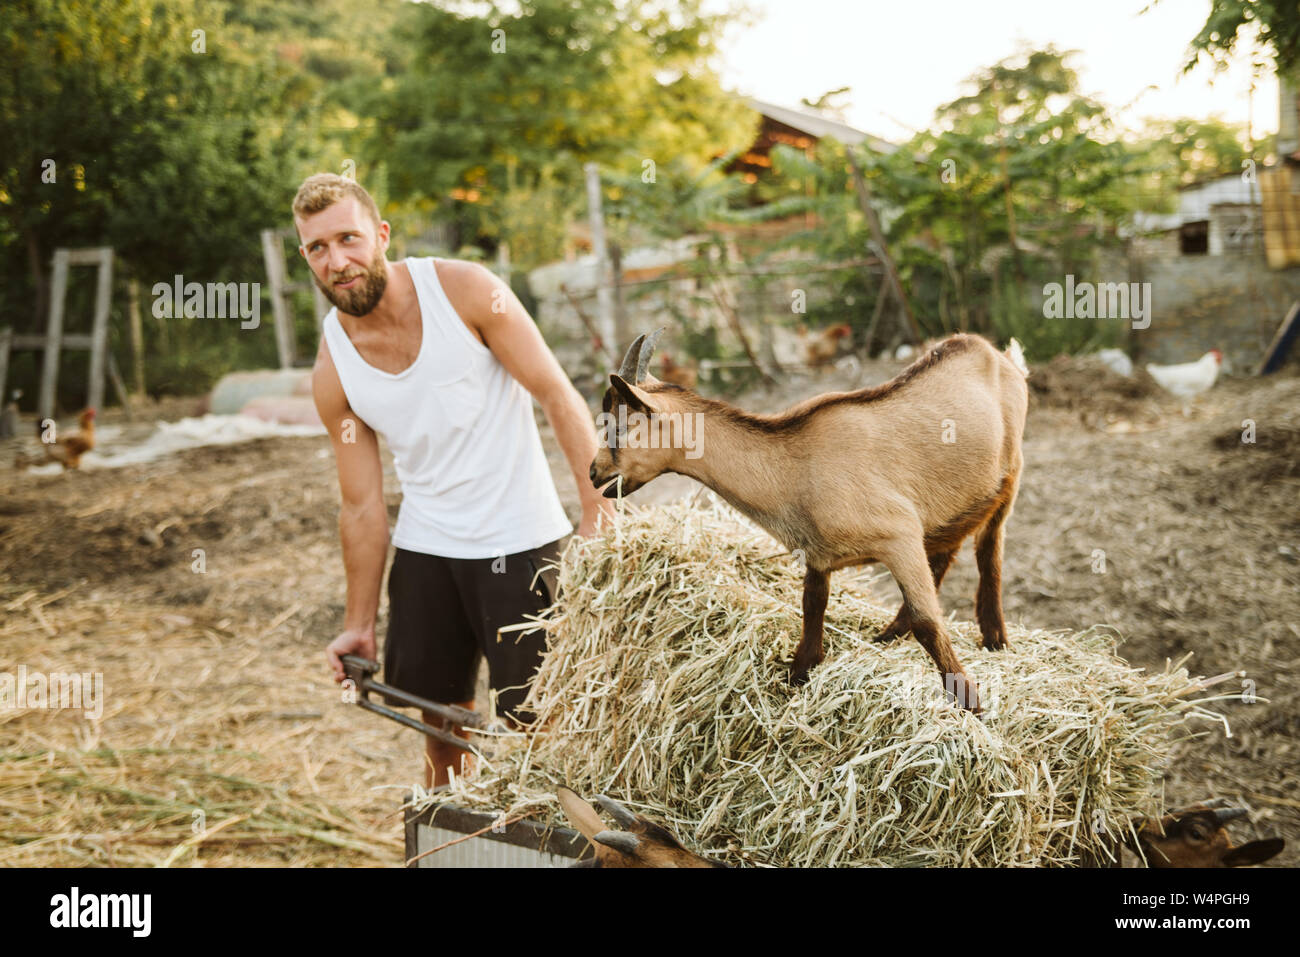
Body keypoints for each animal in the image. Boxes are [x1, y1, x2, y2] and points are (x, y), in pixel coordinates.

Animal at [590, 328, 1024, 712]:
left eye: (622, 426)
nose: (595, 474)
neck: (796, 469)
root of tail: (999, 354)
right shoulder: (817, 554)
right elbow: (813, 607)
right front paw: (797, 675)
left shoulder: (900, 535)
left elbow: (928, 622)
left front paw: (969, 703)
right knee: (948, 552)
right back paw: (890, 633)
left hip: (1009, 476)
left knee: (989, 550)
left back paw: (995, 637)